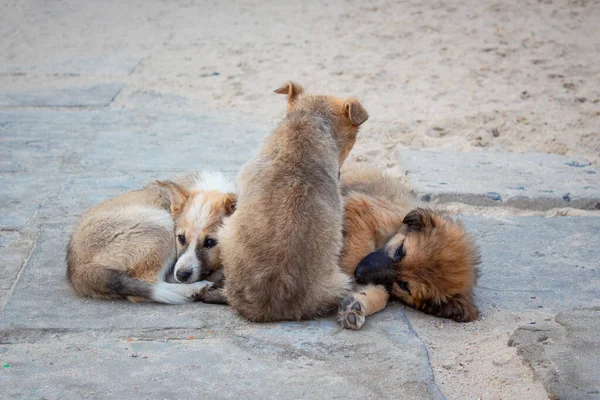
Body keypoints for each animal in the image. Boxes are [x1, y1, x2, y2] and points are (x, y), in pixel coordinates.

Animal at [65, 170, 234, 304]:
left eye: (210, 242)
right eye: (181, 238)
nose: (181, 275)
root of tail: (76, 266)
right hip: (161, 223)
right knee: (146, 285)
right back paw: (194, 289)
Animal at [338, 165, 482, 328]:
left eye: (404, 286)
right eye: (400, 251)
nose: (358, 273)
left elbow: (383, 293)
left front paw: (359, 302)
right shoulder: (362, 208)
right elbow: (358, 250)